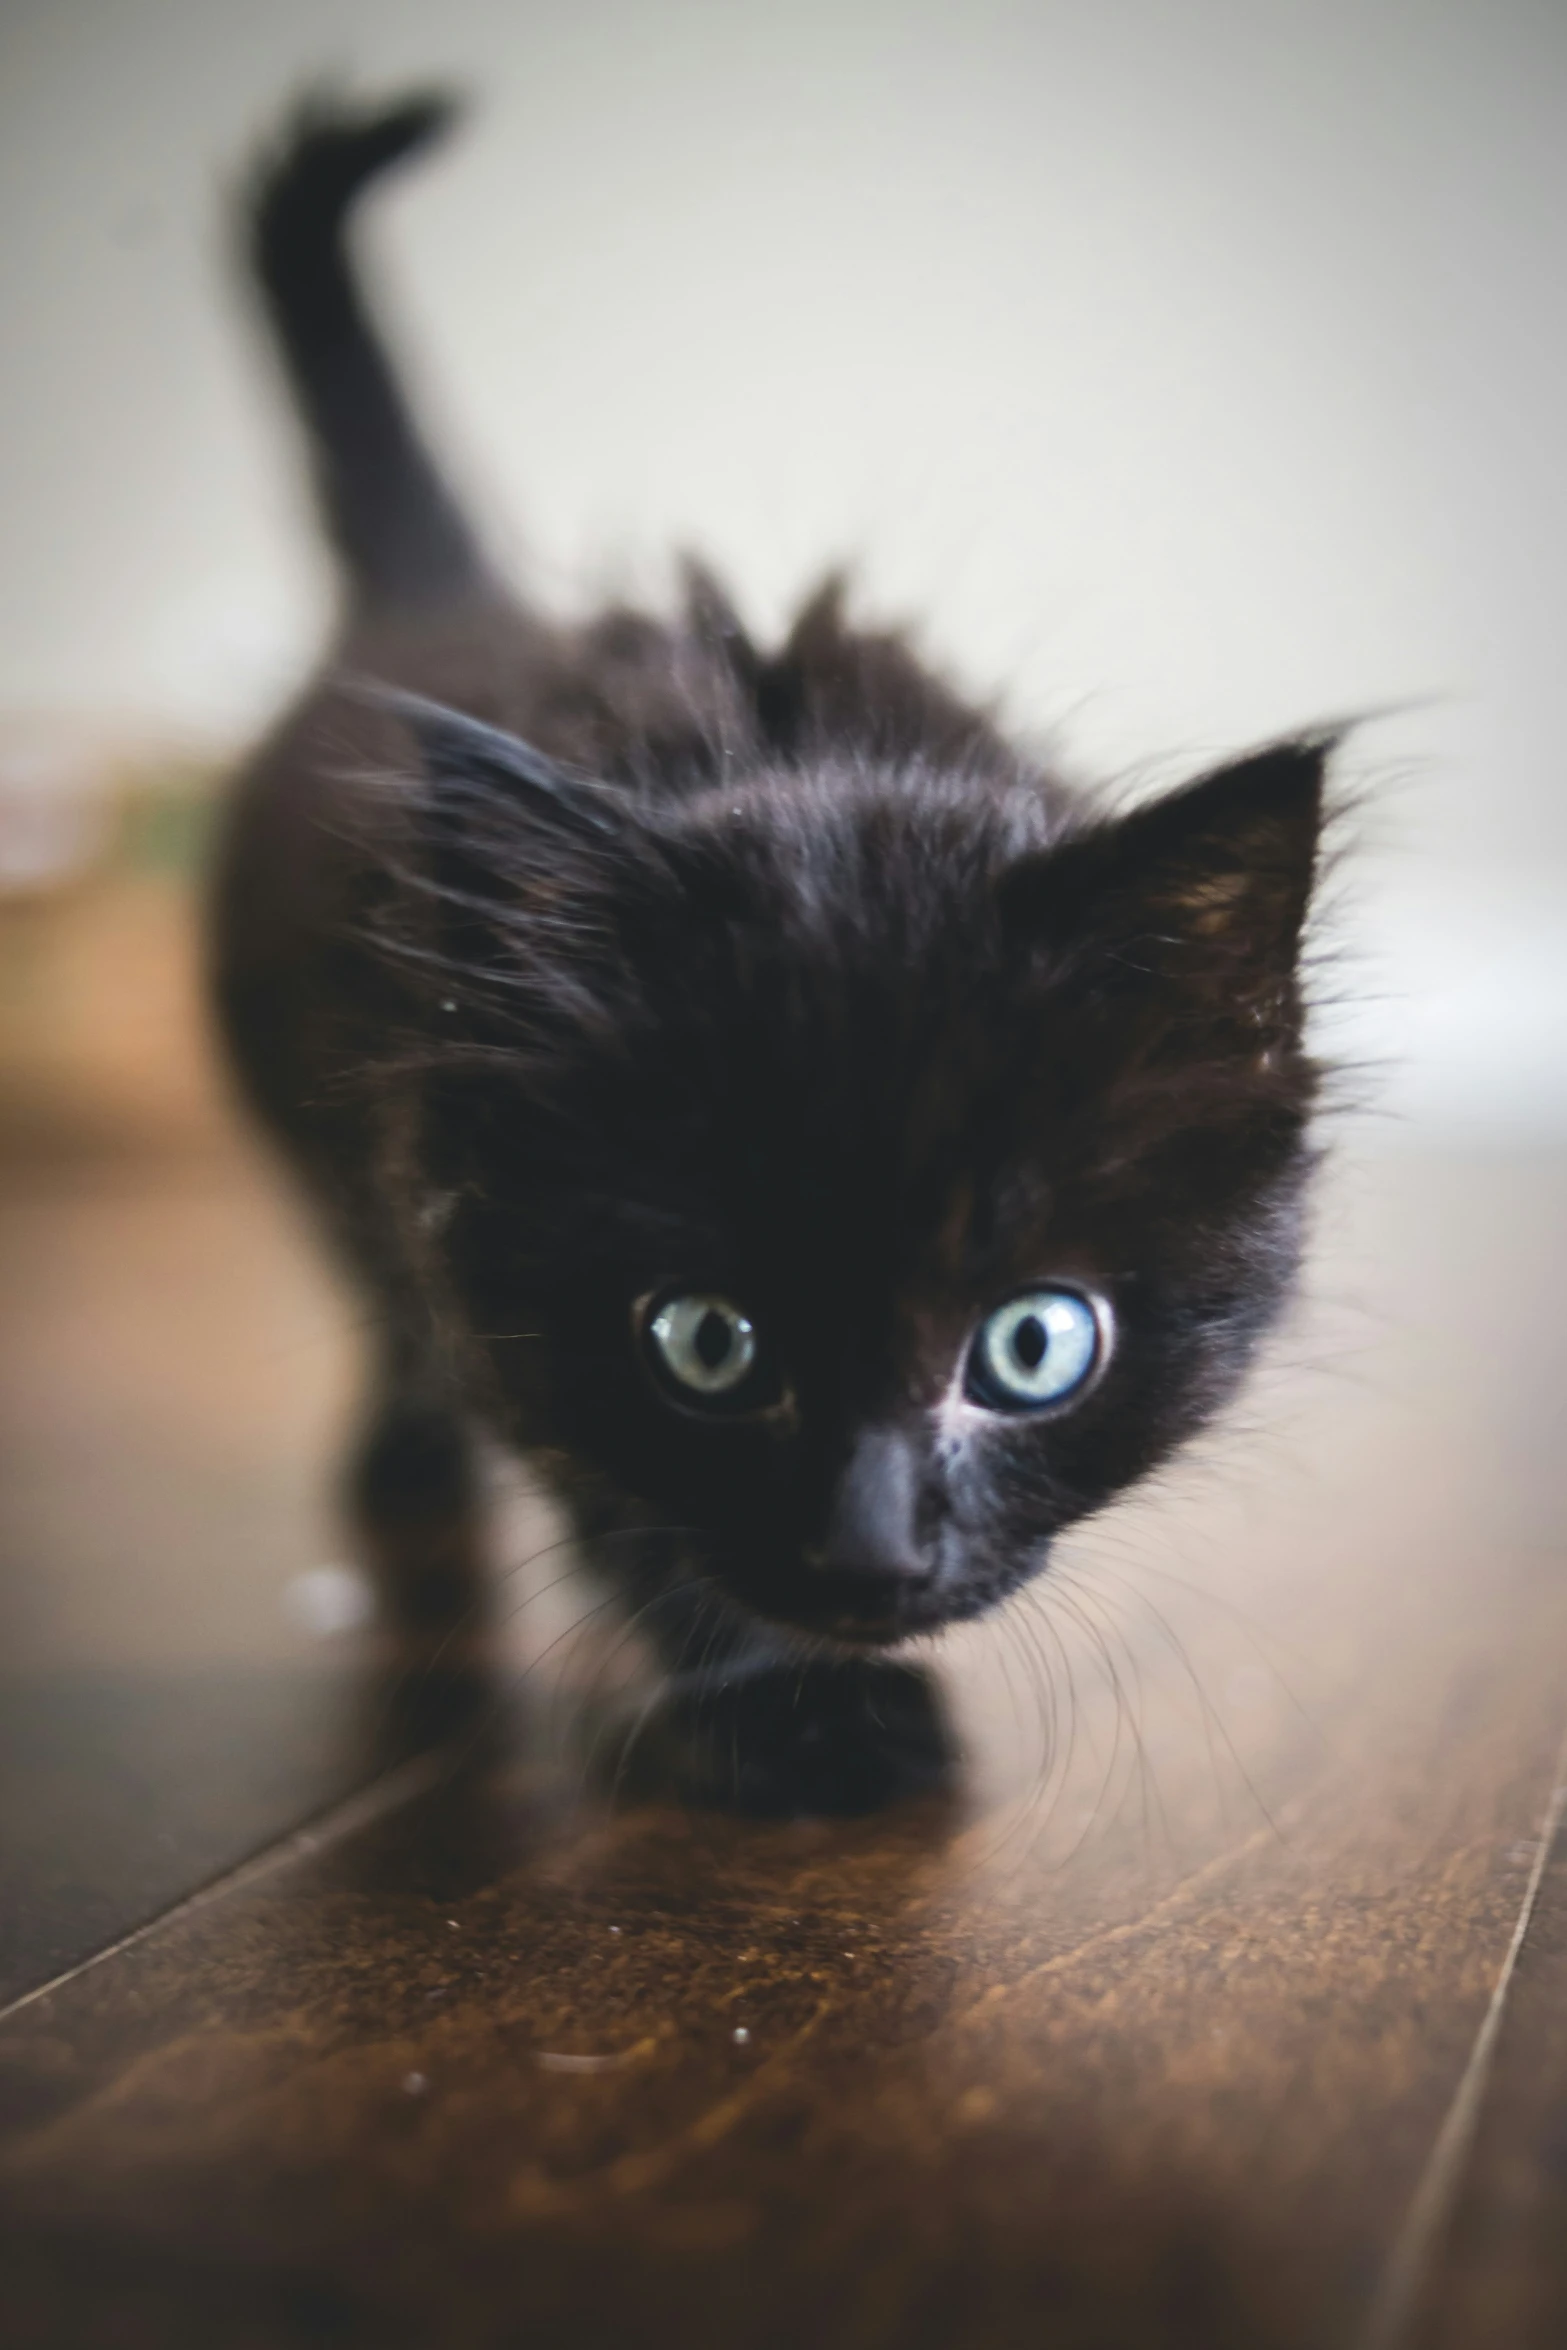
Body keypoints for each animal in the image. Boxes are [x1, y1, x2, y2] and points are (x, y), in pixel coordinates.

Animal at [214, 96, 1334, 1814]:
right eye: (703, 1343)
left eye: (1031, 1345)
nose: (867, 1558)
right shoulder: (464, 1227)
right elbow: (605, 1476)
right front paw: (800, 1720)